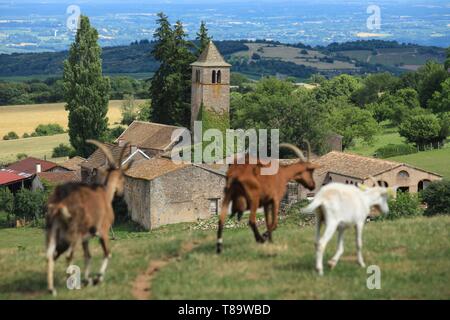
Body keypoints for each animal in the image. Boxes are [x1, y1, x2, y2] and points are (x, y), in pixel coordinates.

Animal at [46, 140, 132, 296]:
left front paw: (88, 280)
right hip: (73, 234)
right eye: (123, 178)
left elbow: (88, 256)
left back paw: (52, 289)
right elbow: (107, 253)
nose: (121, 193)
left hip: (54, 232)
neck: (105, 194)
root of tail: (60, 202)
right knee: (68, 255)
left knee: (50, 255)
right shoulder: (103, 231)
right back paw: (72, 284)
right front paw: (97, 279)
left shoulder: (86, 238)